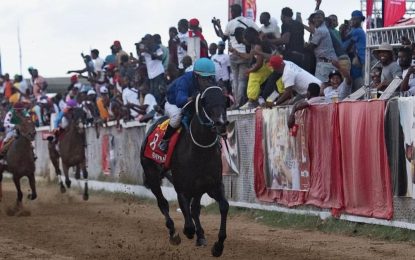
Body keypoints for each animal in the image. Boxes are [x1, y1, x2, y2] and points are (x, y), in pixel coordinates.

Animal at [141, 86, 229, 256]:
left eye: (225, 103)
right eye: (207, 104)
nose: (222, 123)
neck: (199, 151)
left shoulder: (213, 185)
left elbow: (224, 206)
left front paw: (218, 246)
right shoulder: (182, 188)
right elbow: (187, 223)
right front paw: (187, 232)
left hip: (198, 188)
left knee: (194, 209)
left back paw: (200, 236)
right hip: (151, 175)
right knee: (163, 203)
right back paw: (173, 232)